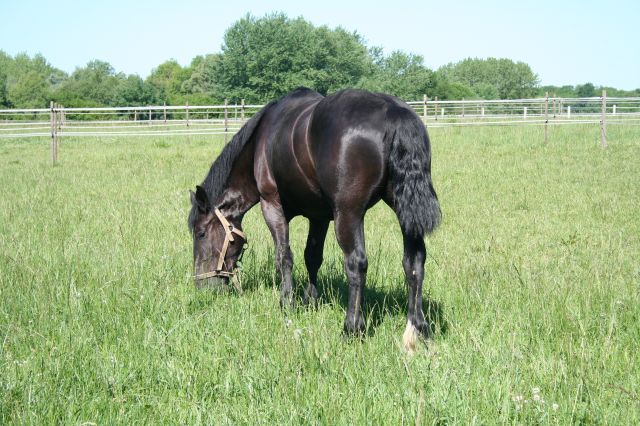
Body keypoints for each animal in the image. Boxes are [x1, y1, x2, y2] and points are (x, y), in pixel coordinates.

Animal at [189, 88, 440, 352]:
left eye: (201, 233)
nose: (202, 286)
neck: (262, 140)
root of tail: (395, 113)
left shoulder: (272, 205)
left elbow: (284, 256)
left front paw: (286, 302)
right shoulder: (318, 217)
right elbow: (312, 257)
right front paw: (311, 300)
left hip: (349, 213)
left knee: (356, 263)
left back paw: (352, 328)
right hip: (404, 211)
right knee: (414, 262)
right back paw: (417, 329)